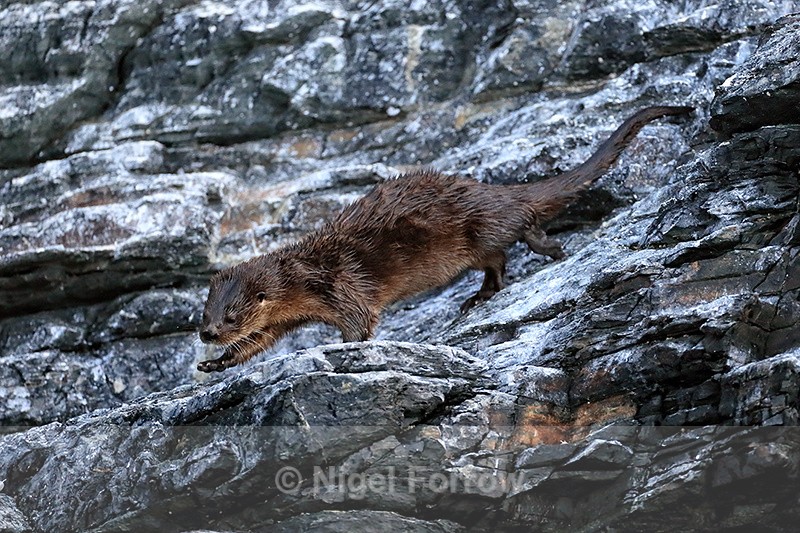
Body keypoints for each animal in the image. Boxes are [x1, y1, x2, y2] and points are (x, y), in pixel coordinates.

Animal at [197, 106, 692, 372]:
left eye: (229, 316)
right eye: (204, 313)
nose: (206, 335)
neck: (305, 276)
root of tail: (494, 190)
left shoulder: (342, 285)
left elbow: (359, 323)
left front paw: (341, 347)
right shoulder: (282, 320)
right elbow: (257, 343)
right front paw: (215, 364)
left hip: (483, 225)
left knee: (517, 232)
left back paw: (547, 248)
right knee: (497, 263)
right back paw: (481, 296)